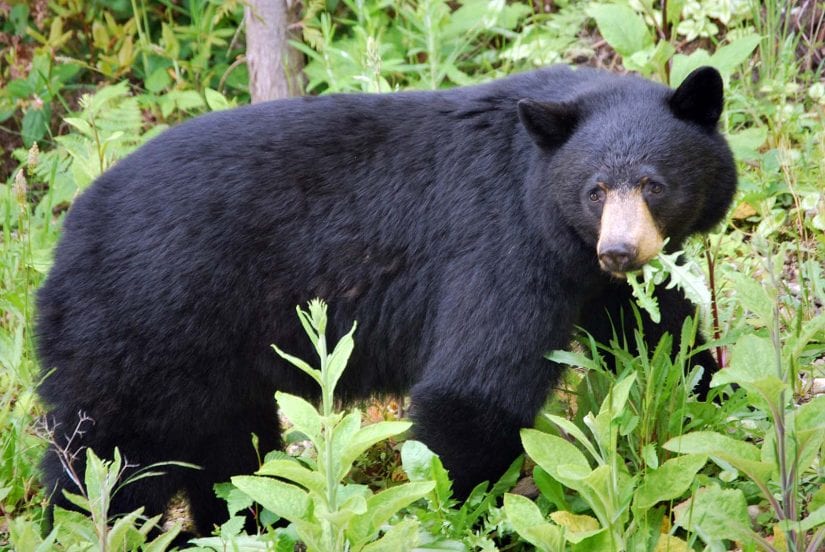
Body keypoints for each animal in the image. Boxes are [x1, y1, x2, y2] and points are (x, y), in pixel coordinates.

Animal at [36, 64, 737, 536]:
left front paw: (708, 403)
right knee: (107, 458)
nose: (619, 250)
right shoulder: (504, 244)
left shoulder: (593, 278)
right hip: (143, 320)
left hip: (209, 358)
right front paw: (457, 514)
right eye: (596, 190)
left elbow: (657, 334)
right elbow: (476, 387)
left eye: (652, 183)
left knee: (232, 450)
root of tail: (65, 237)